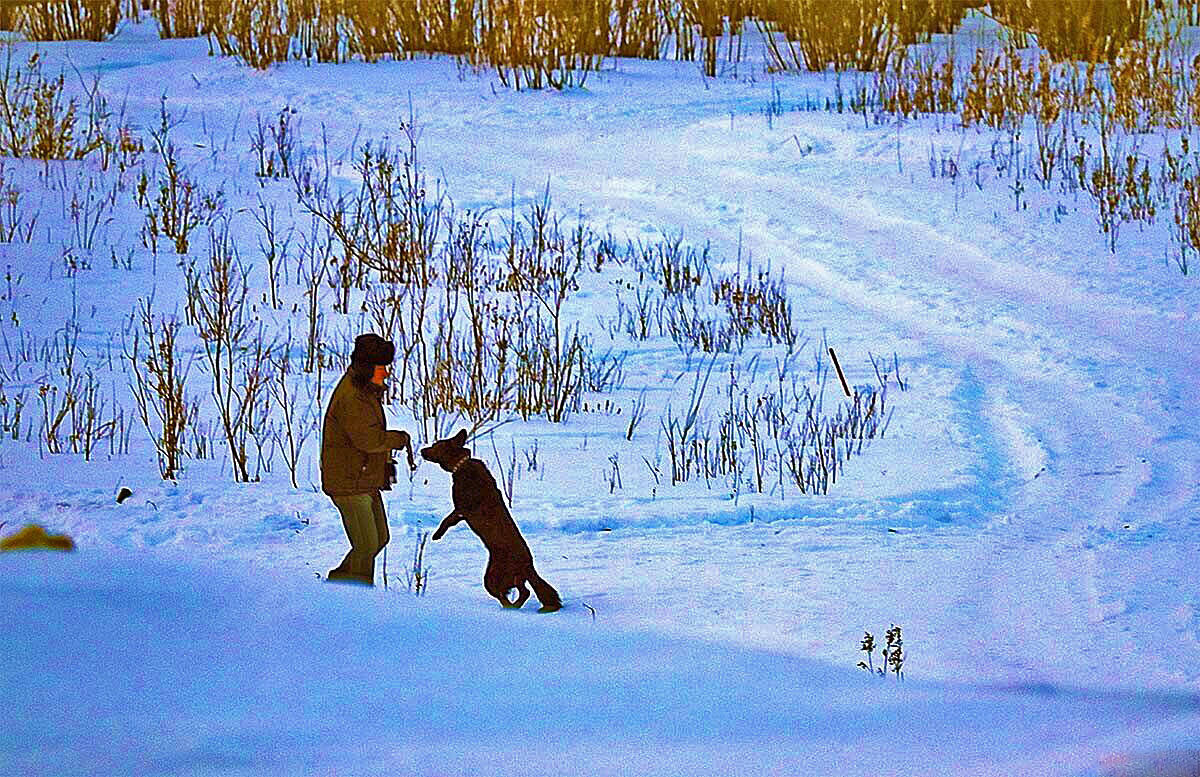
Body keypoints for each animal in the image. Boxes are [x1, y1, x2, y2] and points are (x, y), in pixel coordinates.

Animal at [422, 431, 561, 613]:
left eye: (435, 445)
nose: (422, 450)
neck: (462, 464)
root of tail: (528, 565)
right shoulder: (461, 510)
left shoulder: (462, 509)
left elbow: (447, 520)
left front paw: (437, 535)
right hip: (513, 579)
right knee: (525, 591)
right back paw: (514, 607)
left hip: (492, 577)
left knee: (508, 594)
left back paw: (509, 608)